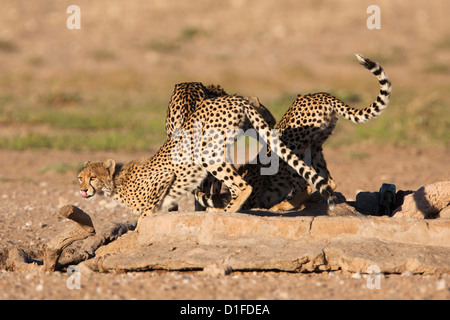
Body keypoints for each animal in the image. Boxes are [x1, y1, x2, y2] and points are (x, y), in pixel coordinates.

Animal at [79, 94, 336, 229]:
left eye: (93, 178)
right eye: (80, 178)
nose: (82, 190)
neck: (116, 182)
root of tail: (235, 98)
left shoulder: (163, 179)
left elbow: (145, 214)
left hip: (208, 154)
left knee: (244, 185)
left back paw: (226, 212)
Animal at [195, 53, 392, 211]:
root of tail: (321, 95)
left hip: (292, 145)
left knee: (305, 186)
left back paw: (282, 206)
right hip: (315, 146)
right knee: (328, 182)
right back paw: (316, 196)